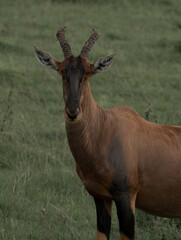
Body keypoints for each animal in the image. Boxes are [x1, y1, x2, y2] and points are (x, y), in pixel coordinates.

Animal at [33, 27, 181, 240]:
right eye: (62, 72)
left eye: (87, 73)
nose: (72, 112)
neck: (105, 128)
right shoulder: (100, 197)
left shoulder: (126, 196)